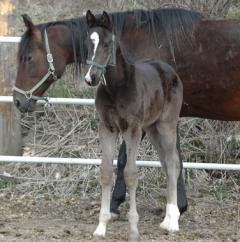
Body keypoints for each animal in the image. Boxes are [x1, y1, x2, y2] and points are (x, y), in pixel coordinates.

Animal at [85, 9, 183, 240]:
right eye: (88, 42)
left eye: (107, 44)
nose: (91, 78)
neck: (116, 87)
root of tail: (168, 69)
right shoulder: (107, 128)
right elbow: (105, 171)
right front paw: (101, 227)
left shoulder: (132, 130)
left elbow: (130, 174)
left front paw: (133, 231)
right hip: (153, 128)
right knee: (167, 163)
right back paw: (167, 218)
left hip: (166, 124)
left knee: (173, 162)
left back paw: (173, 222)